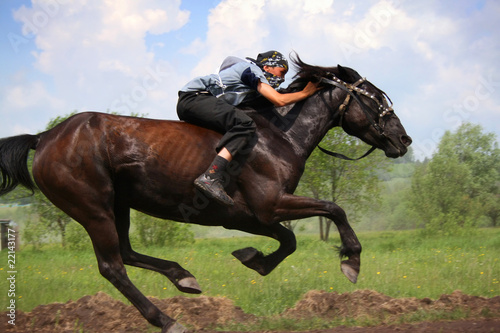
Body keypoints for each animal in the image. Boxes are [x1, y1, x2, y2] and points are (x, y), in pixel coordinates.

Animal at [0, 57, 410, 332]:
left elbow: (289, 240)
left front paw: (253, 259)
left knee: (127, 253)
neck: (279, 136)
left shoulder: (252, 216)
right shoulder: (269, 204)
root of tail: (44, 137)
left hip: (119, 205)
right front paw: (351, 261)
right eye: (376, 99)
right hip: (92, 206)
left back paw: (183, 277)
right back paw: (167, 319)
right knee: (112, 266)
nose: (404, 140)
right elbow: (333, 208)